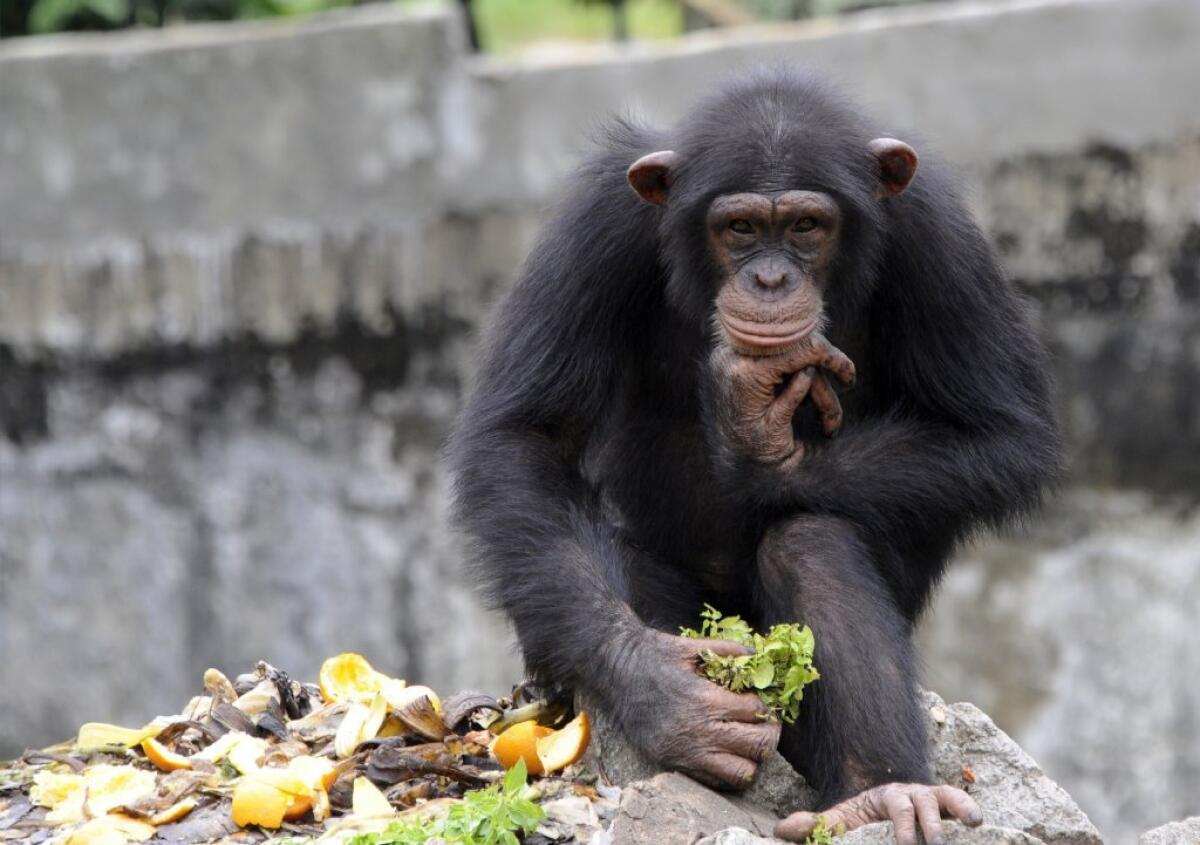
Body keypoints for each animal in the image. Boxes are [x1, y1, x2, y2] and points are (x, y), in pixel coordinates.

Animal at [448, 67, 1060, 845]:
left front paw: (756, 442)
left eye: (805, 226)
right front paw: (666, 691)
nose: (770, 280)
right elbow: (529, 434)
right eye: (739, 228)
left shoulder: (939, 234)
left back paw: (881, 791)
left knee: (810, 542)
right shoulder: (596, 222)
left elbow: (1000, 432)